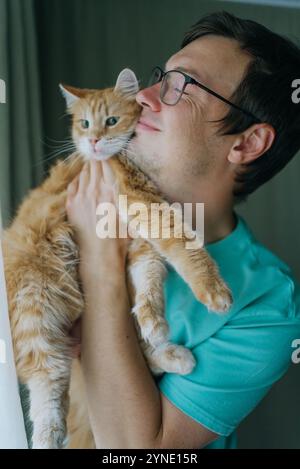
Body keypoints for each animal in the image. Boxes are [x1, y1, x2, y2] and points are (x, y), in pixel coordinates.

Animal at [2, 67, 232, 448]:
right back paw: (49, 436)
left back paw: (171, 354)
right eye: (84, 124)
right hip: (35, 307)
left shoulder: (140, 245)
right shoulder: (143, 201)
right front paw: (213, 290)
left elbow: (151, 282)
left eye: (110, 121)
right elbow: (183, 246)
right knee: (47, 382)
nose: (95, 141)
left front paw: (155, 320)